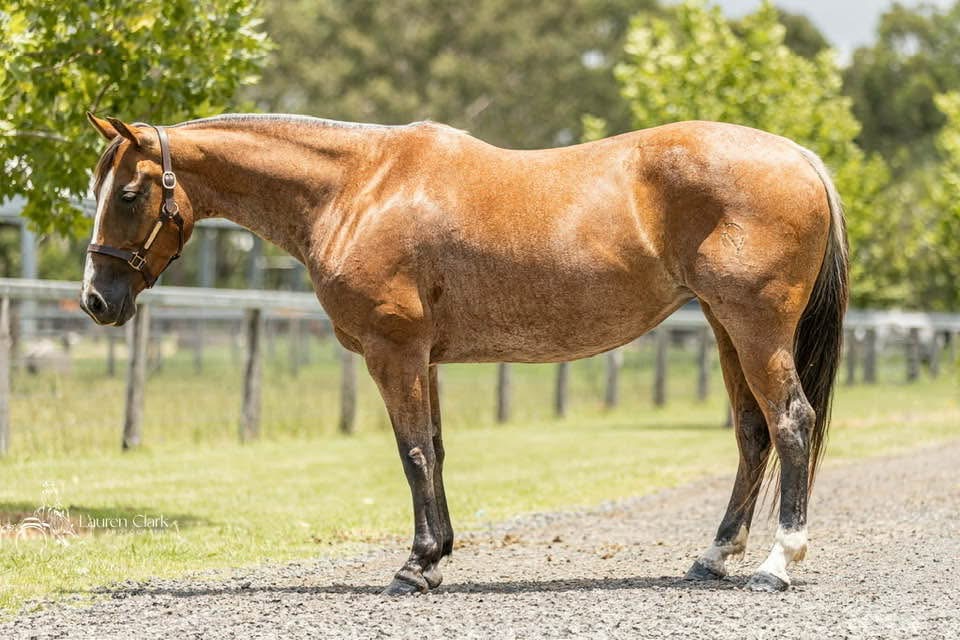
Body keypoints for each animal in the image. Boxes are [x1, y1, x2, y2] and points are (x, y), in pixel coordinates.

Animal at [80, 112, 847, 594]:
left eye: (129, 193)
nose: (96, 300)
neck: (357, 188)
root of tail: (801, 158)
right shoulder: (425, 358)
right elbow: (437, 450)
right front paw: (440, 554)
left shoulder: (393, 351)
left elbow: (413, 451)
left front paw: (416, 567)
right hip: (725, 328)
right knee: (752, 435)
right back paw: (714, 557)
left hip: (755, 330)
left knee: (791, 424)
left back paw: (777, 564)